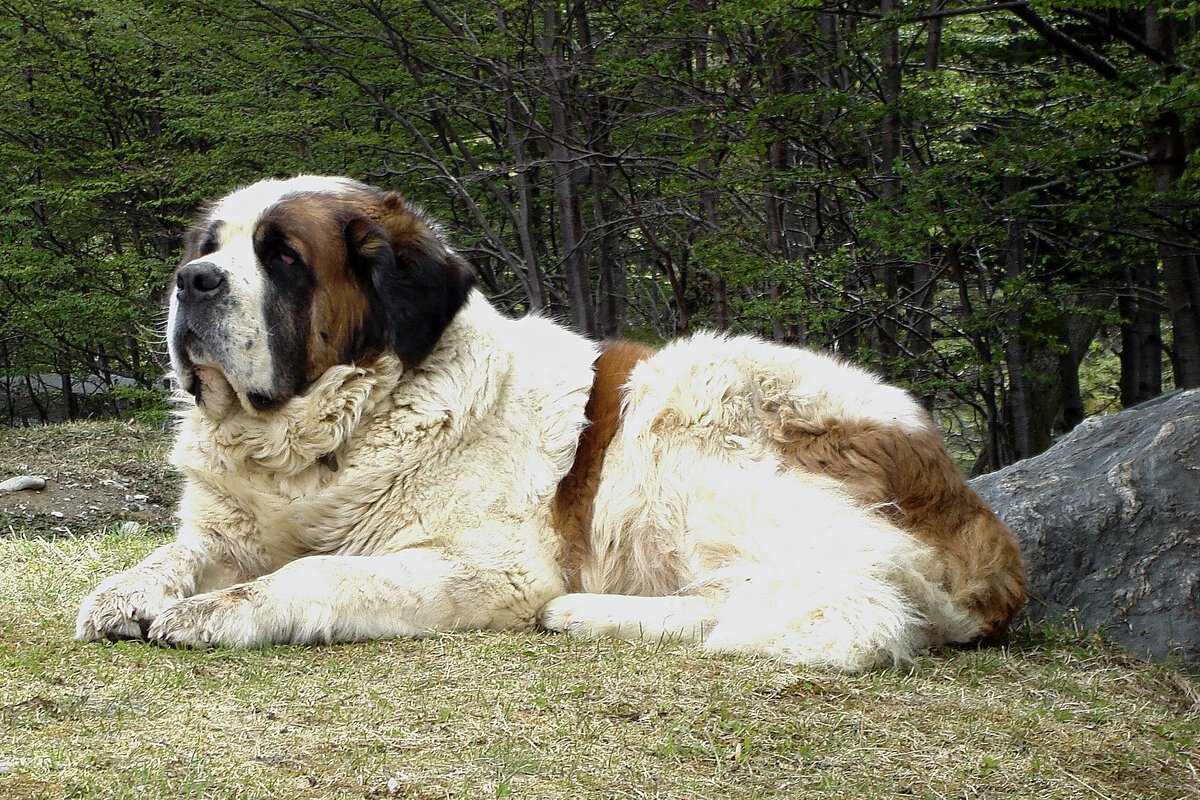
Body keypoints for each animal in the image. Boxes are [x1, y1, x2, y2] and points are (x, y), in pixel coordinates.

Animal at [75, 176, 1022, 676]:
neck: (333, 434)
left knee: (842, 608)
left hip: (692, 404)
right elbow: (178, 555)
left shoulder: (485, 565)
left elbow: (314, 573)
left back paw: (583, 610)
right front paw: (123, 593)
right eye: (208, 246)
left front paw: (219, 612)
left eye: (281, 258)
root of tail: (977, 517)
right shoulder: (233, 526)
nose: (193, 282)